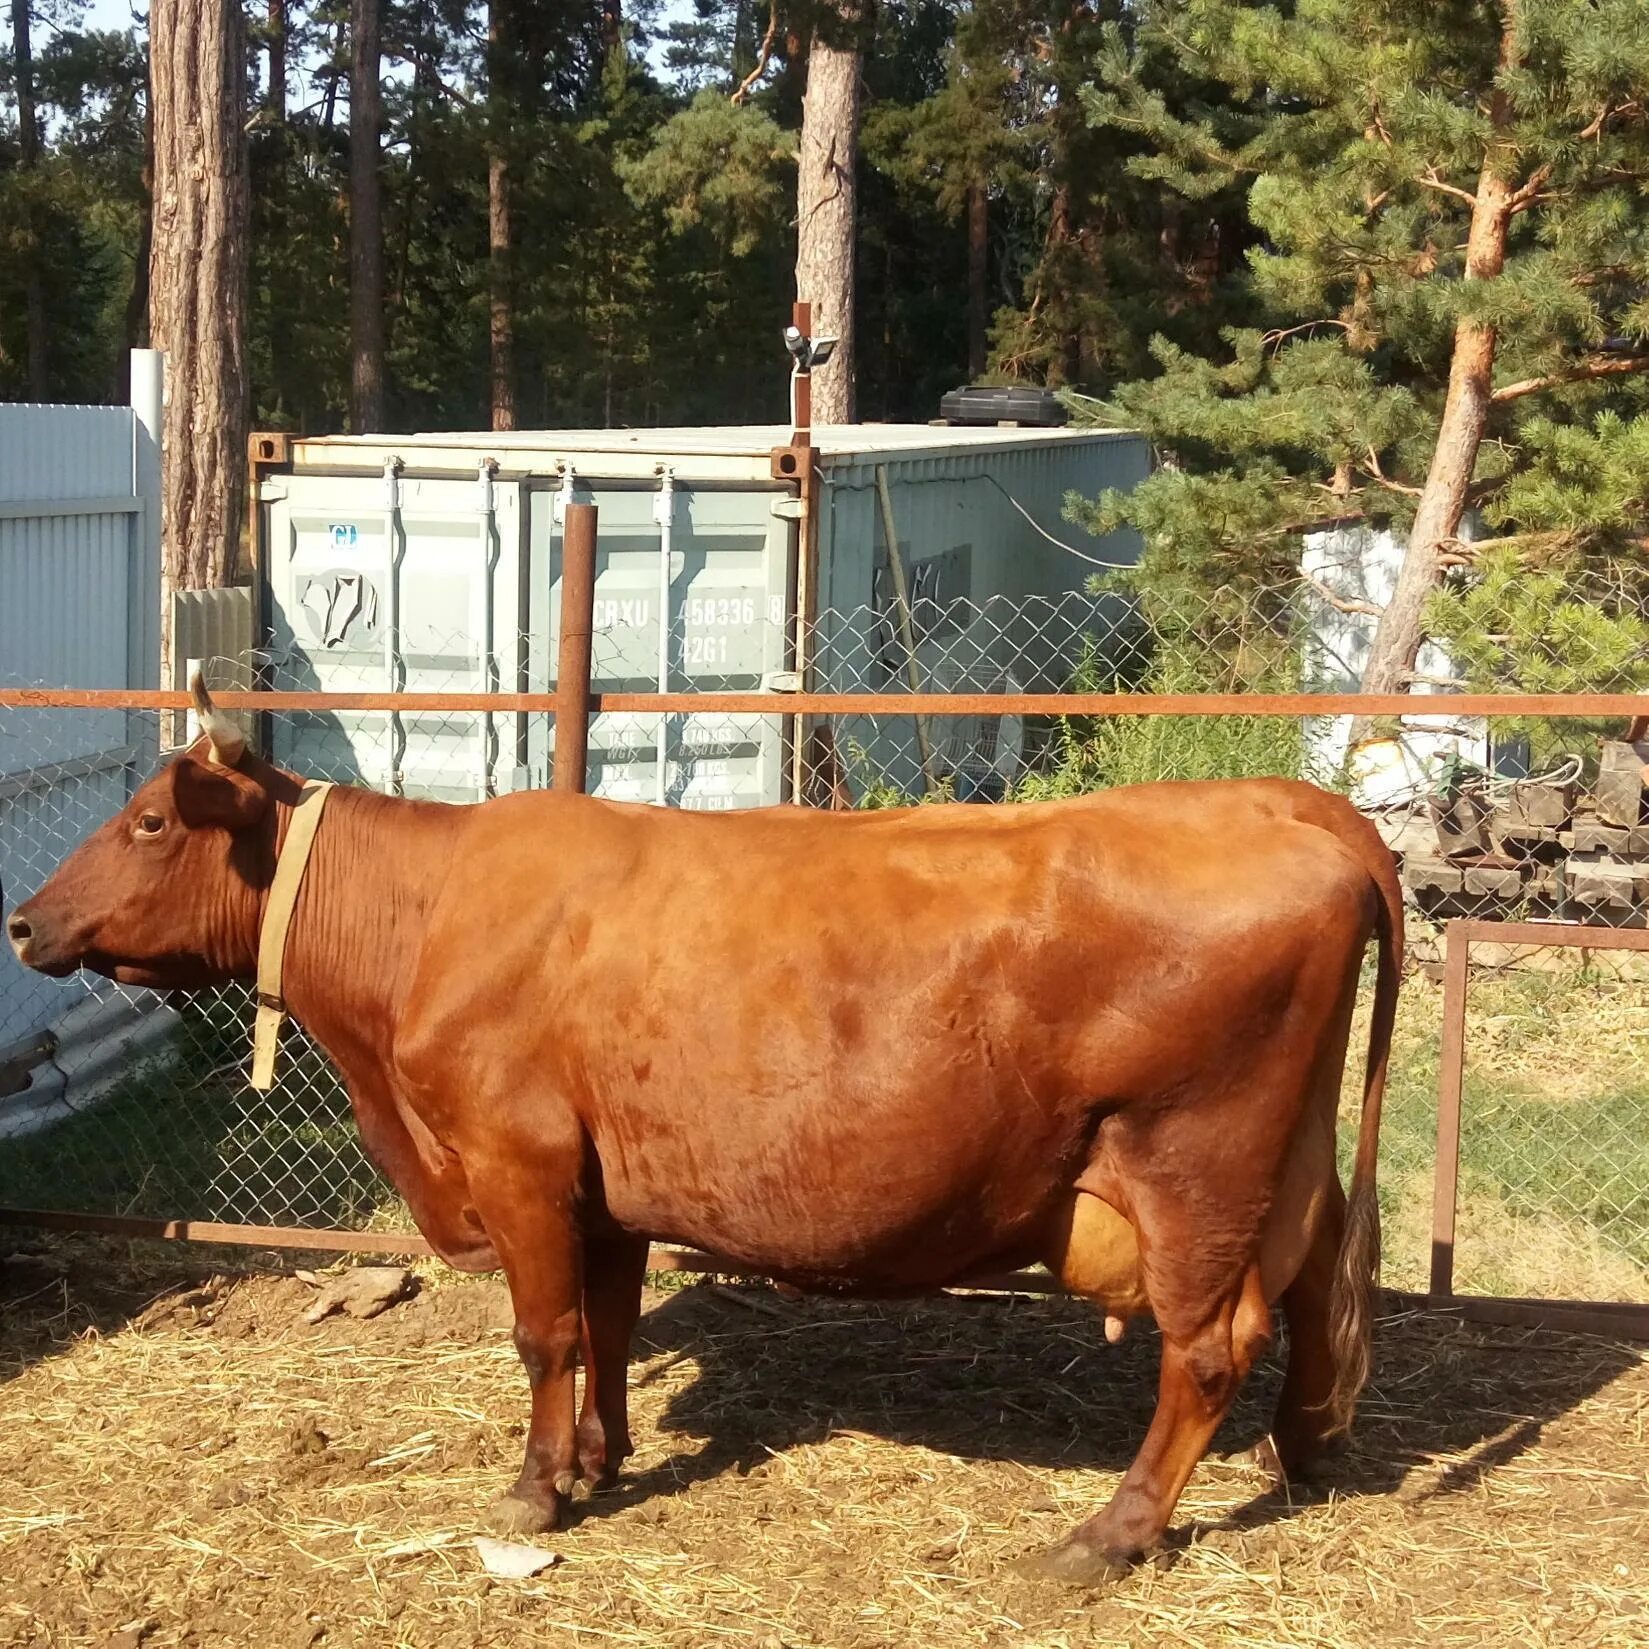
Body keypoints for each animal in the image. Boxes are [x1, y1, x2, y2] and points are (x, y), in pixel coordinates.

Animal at [9, 679, 1404, 1583]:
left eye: (148, 820)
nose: (24, 920)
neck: (427, 916)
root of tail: (1288, 805)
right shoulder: (603, 1183)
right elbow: (607, 1324)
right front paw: (597, 1457)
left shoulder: (515, 1159)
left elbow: (544, 1330)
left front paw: (534, 1488)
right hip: (1282, 1162)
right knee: (1313, 1290)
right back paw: (1301, 1445)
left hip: (1193, 1159)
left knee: (1205, 1347)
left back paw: (1106, 1534)